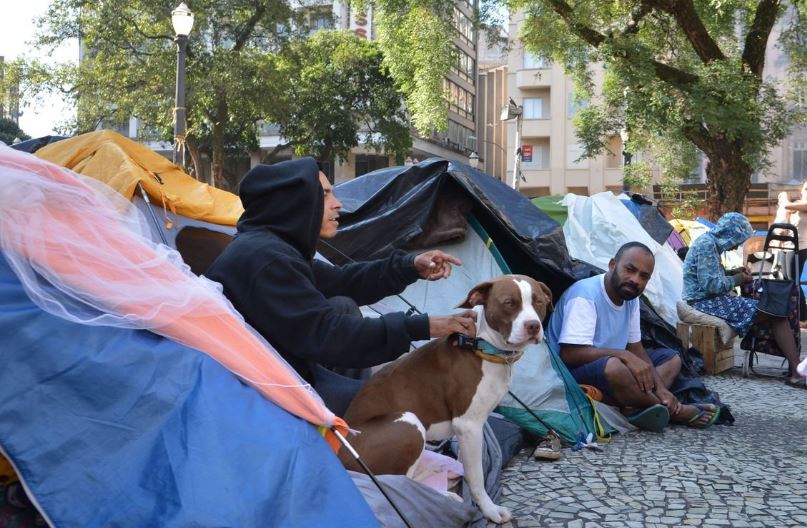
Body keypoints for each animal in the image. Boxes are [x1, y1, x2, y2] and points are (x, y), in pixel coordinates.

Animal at [338, 274, 552, 520]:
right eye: (509, 302)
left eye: (538, 302)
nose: (533, 325)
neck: (484, 348)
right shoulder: (468, 424)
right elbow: (477, 476)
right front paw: (489, 509)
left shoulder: (472, 427)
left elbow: (470, 466)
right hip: (408, 423)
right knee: (397, 482)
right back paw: (442, 493)